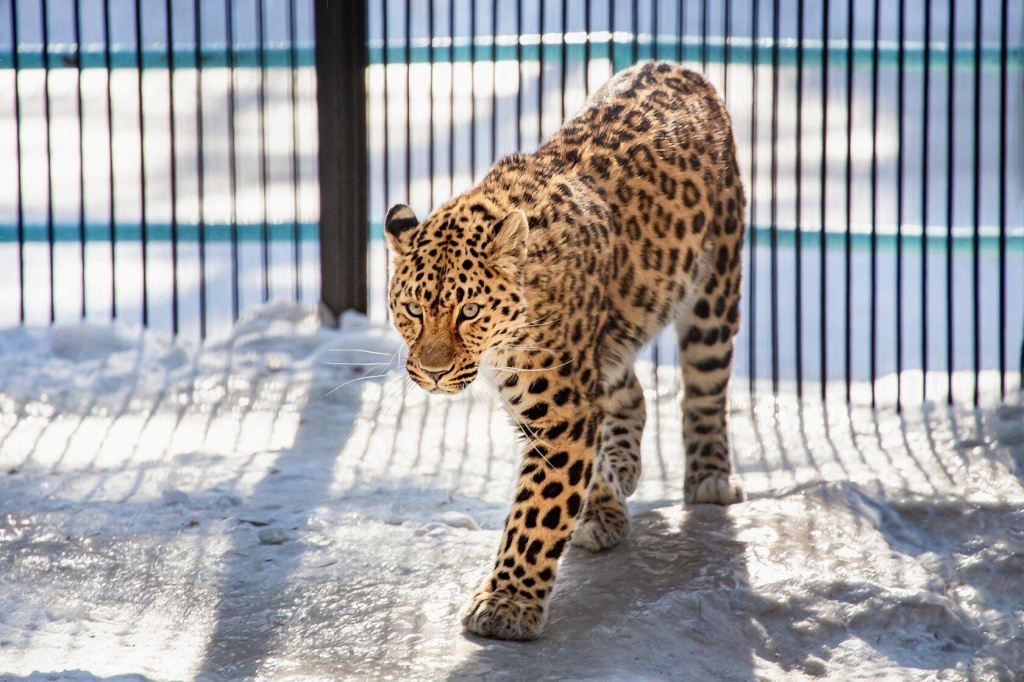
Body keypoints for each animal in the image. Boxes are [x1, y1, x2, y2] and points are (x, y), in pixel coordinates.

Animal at [382, 61, 745, 638]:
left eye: (469, 310)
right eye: (414, 309)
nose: (434, 373)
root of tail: (679, 68)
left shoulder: (561, 410)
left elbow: (538, 510)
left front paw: (505, 605)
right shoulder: (561, 397)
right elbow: (578, 471)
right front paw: (602, 505)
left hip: (716, 287)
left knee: (706, 386)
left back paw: (709, 476)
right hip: (610, 337)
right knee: (629, 388)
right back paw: (619, 478)